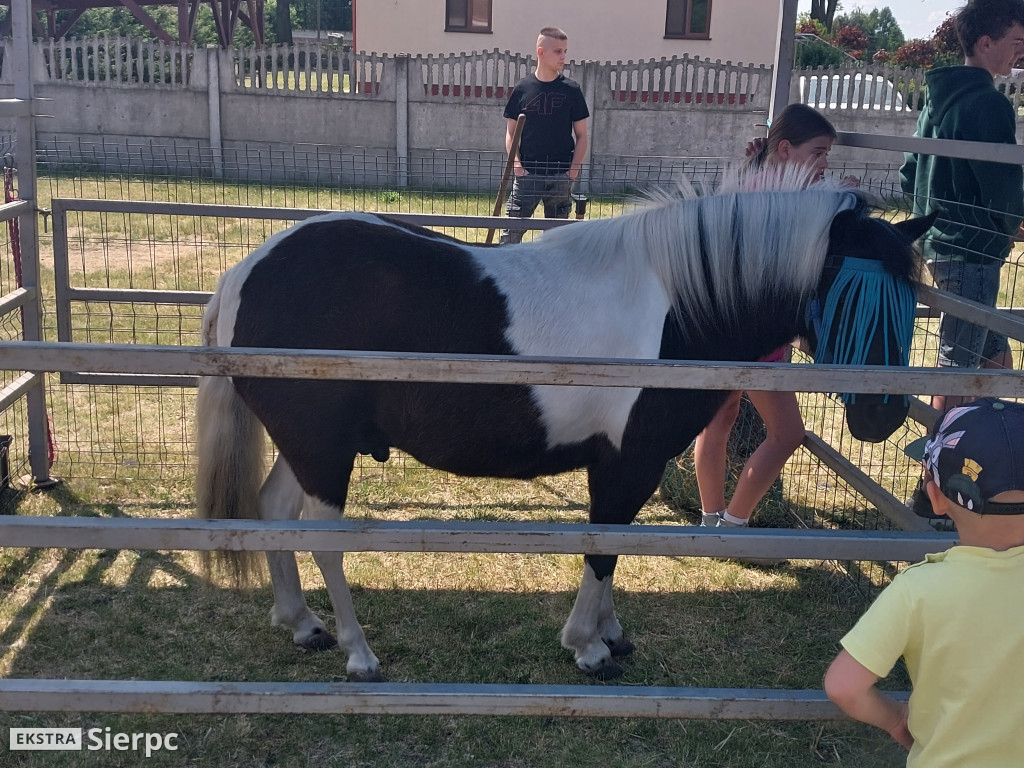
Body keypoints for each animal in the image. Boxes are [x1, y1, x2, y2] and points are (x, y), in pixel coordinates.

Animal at [193, 179, 937, 679]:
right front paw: (589, 645)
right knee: (321, 536)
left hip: (310, 446)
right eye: (847, 290)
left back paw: (302, 625)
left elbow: (616, 545)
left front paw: (612, 632)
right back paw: (358, 652)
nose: (883, 416)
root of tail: (245, 273)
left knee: (275, 513)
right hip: (322, 448)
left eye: (912, 298)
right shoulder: (625, 463)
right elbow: (602, 548)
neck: (674, 303)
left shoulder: (631, 467)